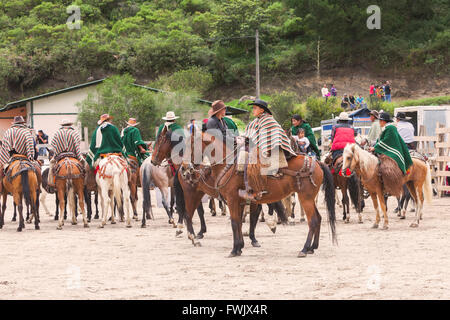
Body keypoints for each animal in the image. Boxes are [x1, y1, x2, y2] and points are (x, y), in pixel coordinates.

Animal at [152, 127, 338, 258]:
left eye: (191, 145)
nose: (185, 168)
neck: (228, 164)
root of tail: (317, 162)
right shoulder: (240, 200)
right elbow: (241, 222)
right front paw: (240, 246)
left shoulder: (234, 199)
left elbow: (237, 222)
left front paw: (236, 249)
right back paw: (313, 247)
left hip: (305, 198)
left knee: (313, 220)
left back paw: (305, 249)